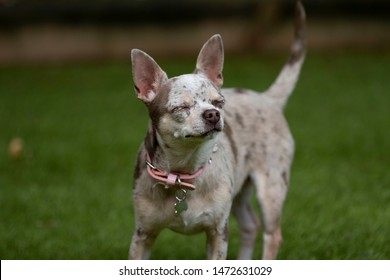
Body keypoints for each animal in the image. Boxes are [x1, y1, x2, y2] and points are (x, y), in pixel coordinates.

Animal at [128, 1, 304, 260]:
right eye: (181, 108)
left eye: (219, 102)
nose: (213, 114)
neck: (182, 172)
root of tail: (267, 98)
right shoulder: (142, 235)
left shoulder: (218, 231)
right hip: (239, 191)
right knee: (250, 224)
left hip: (271, 187)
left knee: (271, 235)